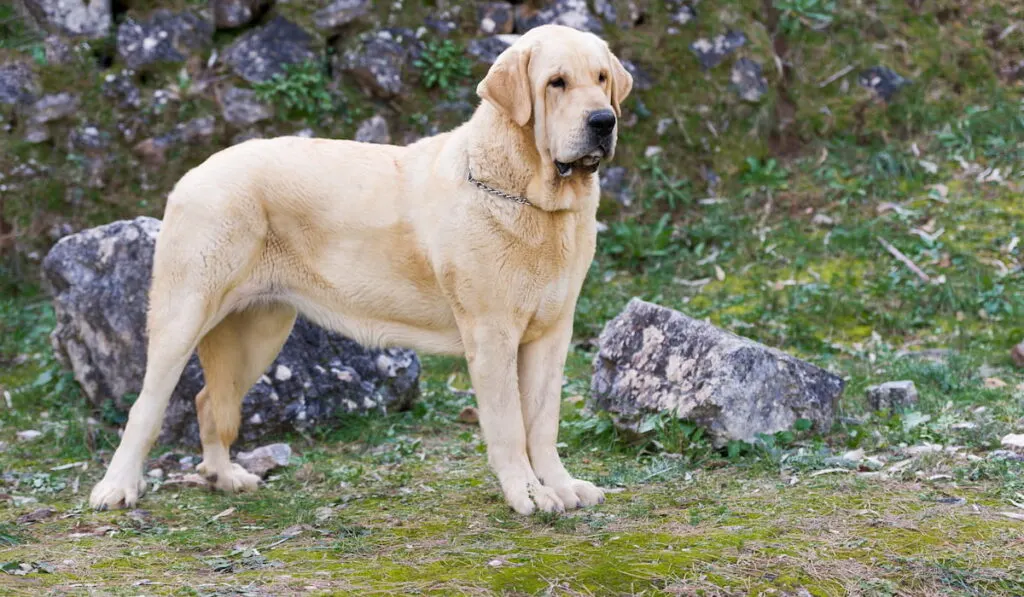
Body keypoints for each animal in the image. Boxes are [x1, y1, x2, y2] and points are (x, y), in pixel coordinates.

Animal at [88, 25, 630, 516]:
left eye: (601, 78)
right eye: (556, 82)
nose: (603, 120)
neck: (532, 198)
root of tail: (195, 172)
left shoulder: (552, 332)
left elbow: (543, 421)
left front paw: (561, 486)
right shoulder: (492, 333)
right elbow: (510, 425)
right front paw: (528, 494)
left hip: (258, 331)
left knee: (209, 401)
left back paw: (224, 476)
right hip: (184, 314)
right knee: (146, 406)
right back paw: (117, 487)